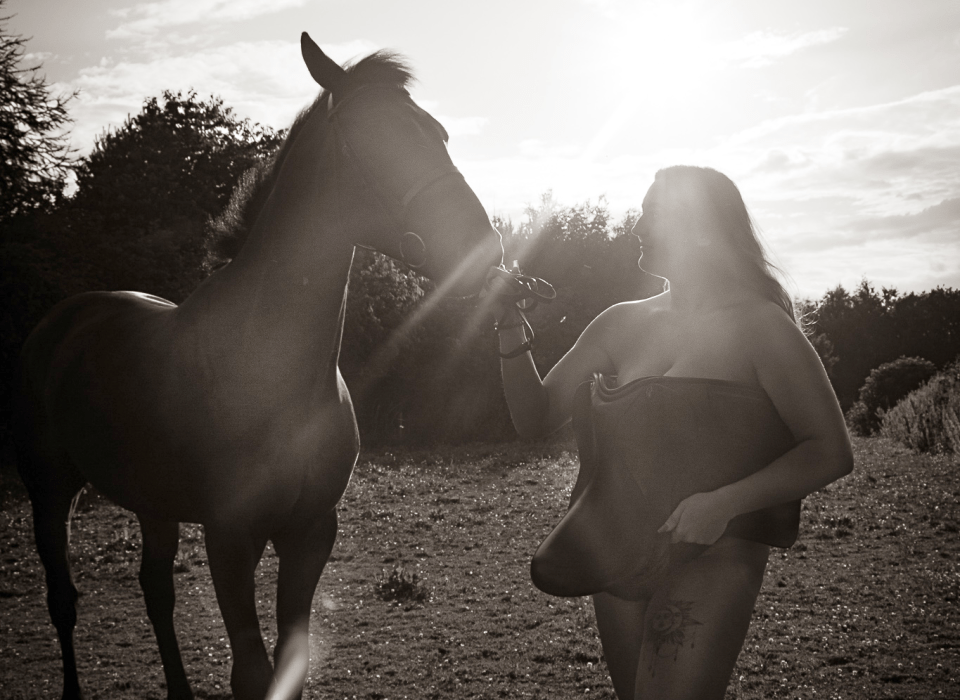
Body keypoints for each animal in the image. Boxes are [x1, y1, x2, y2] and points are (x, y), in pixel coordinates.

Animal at [13, 32, 502, 700]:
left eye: (438, 132)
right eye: (369, 138)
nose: (483, 249)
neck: (271, 371)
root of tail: (66, 320)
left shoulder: (311, 532)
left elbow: (290, 664)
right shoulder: (230, 538)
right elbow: (251, 671)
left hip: (151, 503)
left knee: (155, 592)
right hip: (51, 490)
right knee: (63, 599)